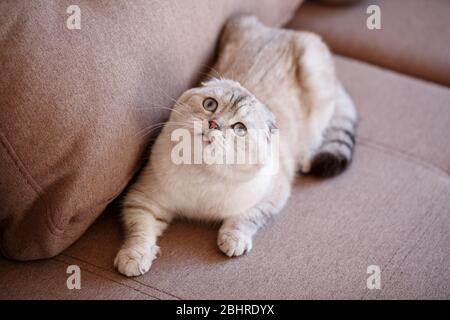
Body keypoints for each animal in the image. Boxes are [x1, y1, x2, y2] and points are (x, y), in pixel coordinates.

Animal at [114, 15, 356, 276]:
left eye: (239, 128)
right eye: (210, 104)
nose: (213, 124)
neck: (203, 176)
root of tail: (283, 30)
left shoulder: (272, 196)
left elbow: (245, 219)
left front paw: (233, 241)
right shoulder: (144, 200)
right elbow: (140, 232)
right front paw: (134, 258)